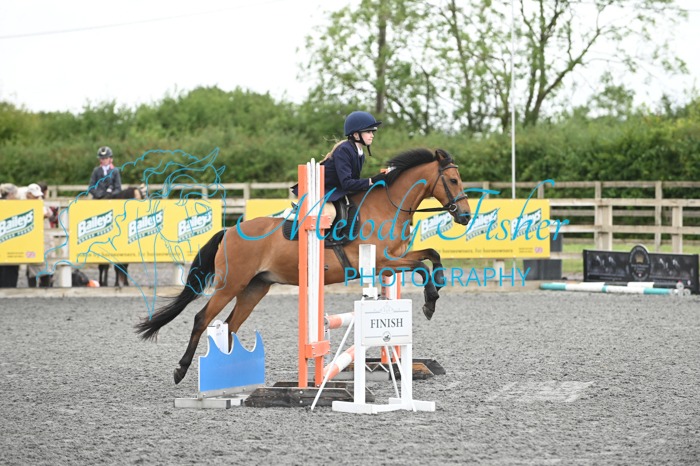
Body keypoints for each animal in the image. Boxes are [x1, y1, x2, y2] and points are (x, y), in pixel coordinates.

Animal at [135, 148, 471, 384]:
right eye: (453, 180)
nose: (466, 216)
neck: (388, 205)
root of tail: (229, 230)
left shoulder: (392, 262)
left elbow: (431, 254)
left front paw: (436, 291)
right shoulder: (381, 261)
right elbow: (424, 265)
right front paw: (430, 302)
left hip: (255, 288)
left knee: (230, 325)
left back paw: (231, 372)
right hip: (232, 283)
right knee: (202, 319)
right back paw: (181, 370)